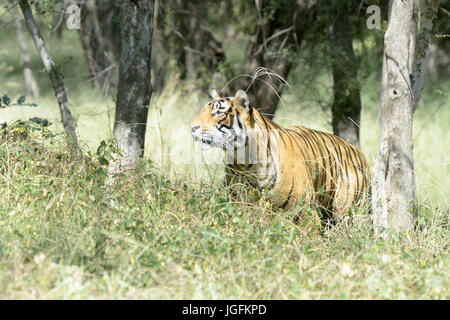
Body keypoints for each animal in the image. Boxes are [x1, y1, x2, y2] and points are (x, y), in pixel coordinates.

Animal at [192, 89, 370, 221]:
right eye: (203, 110)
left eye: (217, 112)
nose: (193, 127)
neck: (245, 163)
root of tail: (359, 152)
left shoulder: (305, 212)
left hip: (347, 212)